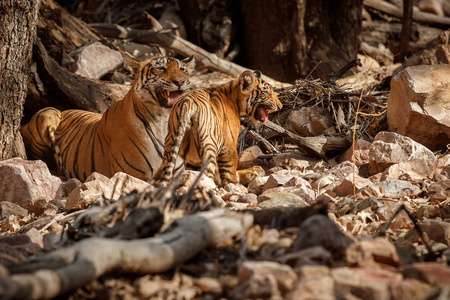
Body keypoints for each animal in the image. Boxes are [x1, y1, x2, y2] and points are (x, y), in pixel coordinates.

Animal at [21, 55, 195, 182]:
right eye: (160, 68)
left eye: (182, 69)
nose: (180, 81)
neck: (163, 120)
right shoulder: (132, 173)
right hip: (46, 114)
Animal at [154, 70, 282, 186]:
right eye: (266, 92)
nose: (280, 106)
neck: (234, 98)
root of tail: (187, 102)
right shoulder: (229, 146)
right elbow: (229, 173)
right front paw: (234, 186)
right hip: (209, 145)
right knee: (207, 174)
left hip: (171, 142)